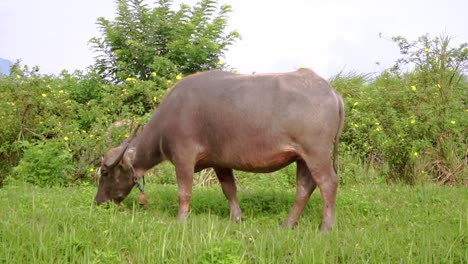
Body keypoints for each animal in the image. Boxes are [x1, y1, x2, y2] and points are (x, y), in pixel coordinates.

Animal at [95, 68, 344, 233]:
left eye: (105, 173)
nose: (98, 201)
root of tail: (331, 92)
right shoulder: (220, 162)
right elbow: (229, 189)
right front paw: (237, 218)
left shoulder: (183, 157)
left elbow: (184, 192)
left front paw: (181, 220)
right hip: (302, 158)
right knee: (304, 188)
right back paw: (287, 224)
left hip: (317, 153)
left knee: (328, 183)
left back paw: (326, 227)